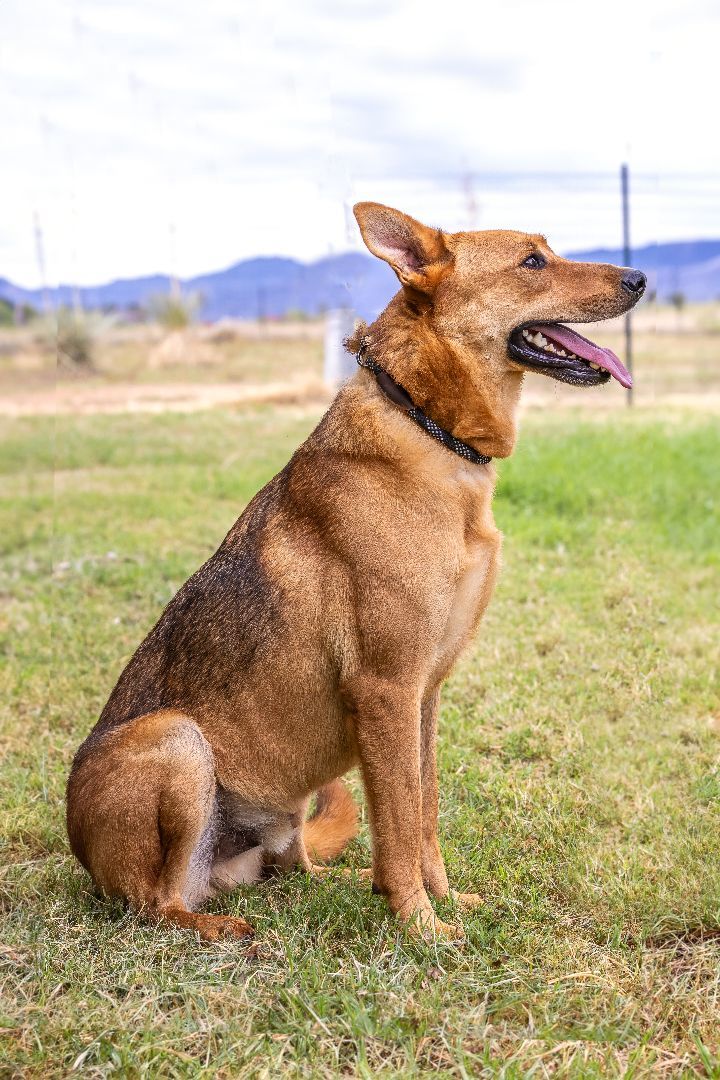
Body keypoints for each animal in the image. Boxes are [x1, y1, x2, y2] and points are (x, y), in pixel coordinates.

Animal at [64, 200, 643, 937]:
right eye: (533, 261)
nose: (640, 278)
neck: (426, 425)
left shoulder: (424, 693)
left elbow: (421, 811)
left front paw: (441, 899)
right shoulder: (386, 688)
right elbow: (398, 821)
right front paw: (421, 927)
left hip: (282, 812)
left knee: (292, 867)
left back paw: (330, 882)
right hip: (176, 741)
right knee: (158, 903)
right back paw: (223, 930)